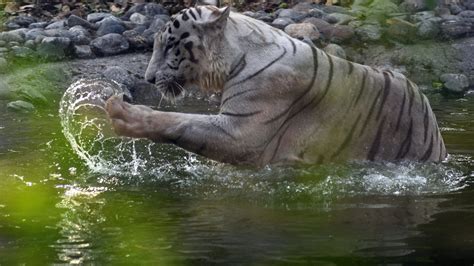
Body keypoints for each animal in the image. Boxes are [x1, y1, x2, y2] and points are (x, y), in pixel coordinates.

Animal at [104, 5, 448, 165]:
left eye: (169, 45)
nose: (148, 79)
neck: (236, 56)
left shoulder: (242, 132)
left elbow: (180, 121)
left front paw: (123, 113)